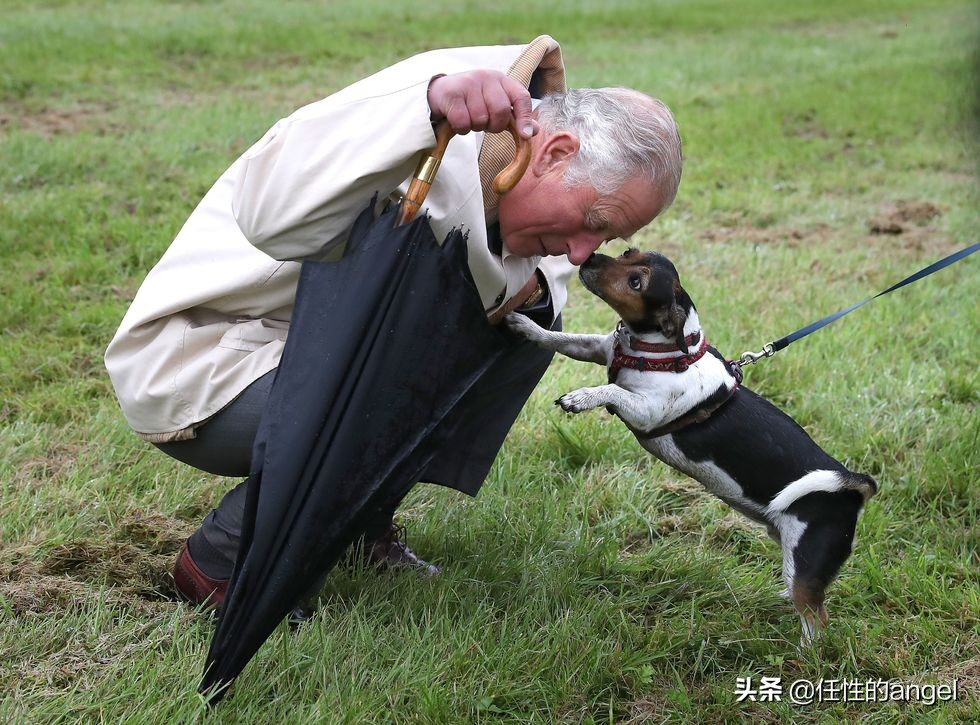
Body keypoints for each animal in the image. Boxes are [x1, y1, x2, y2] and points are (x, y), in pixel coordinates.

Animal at [510, 247, 876, 640]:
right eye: (628, 252)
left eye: (636, 282)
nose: (590, 257)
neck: (658, 351)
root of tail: (854, 486)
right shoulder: (595, 348)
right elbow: (561, 340)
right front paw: (526, 326)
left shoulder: (646, 411)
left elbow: (611, 390)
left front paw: (581, 397)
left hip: (806, 564)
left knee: (816, 617)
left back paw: (804, 651)